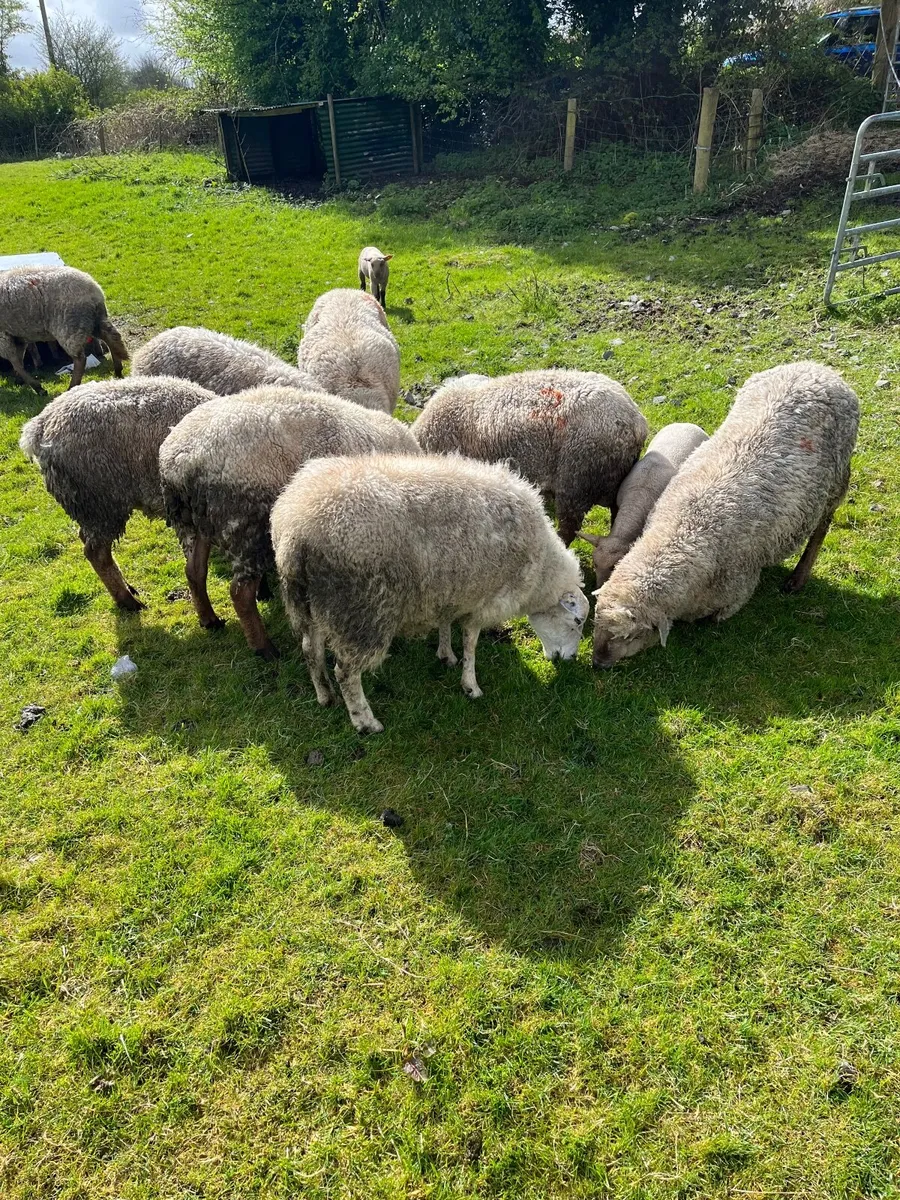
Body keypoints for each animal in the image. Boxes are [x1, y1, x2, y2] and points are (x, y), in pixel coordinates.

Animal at [19, 377, 216, 609]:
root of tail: (41, 425)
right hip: (102, 500)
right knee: (96, 552)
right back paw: (128, 601)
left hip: (89, 505)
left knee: (87, 539)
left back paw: (127, 588)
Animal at [159, 387, 421, 660]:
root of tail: (182, 461)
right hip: (245, 526)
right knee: (239, 593)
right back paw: (265, 648)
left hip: (194, 523)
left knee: (195, 571)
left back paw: (210, 620)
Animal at [270, 453, 590, 733]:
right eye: (577, 622)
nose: (570, 660)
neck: (542, 569)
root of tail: (296, 531)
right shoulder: (487, 599)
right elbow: (471, 642)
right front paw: (470, 685)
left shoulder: (450, 588)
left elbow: (446, 622)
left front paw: (446, 654)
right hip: (361, 610)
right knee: (346, 672)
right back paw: (365, 721)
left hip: (314, 602)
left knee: (311, 649)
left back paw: (324, 695)